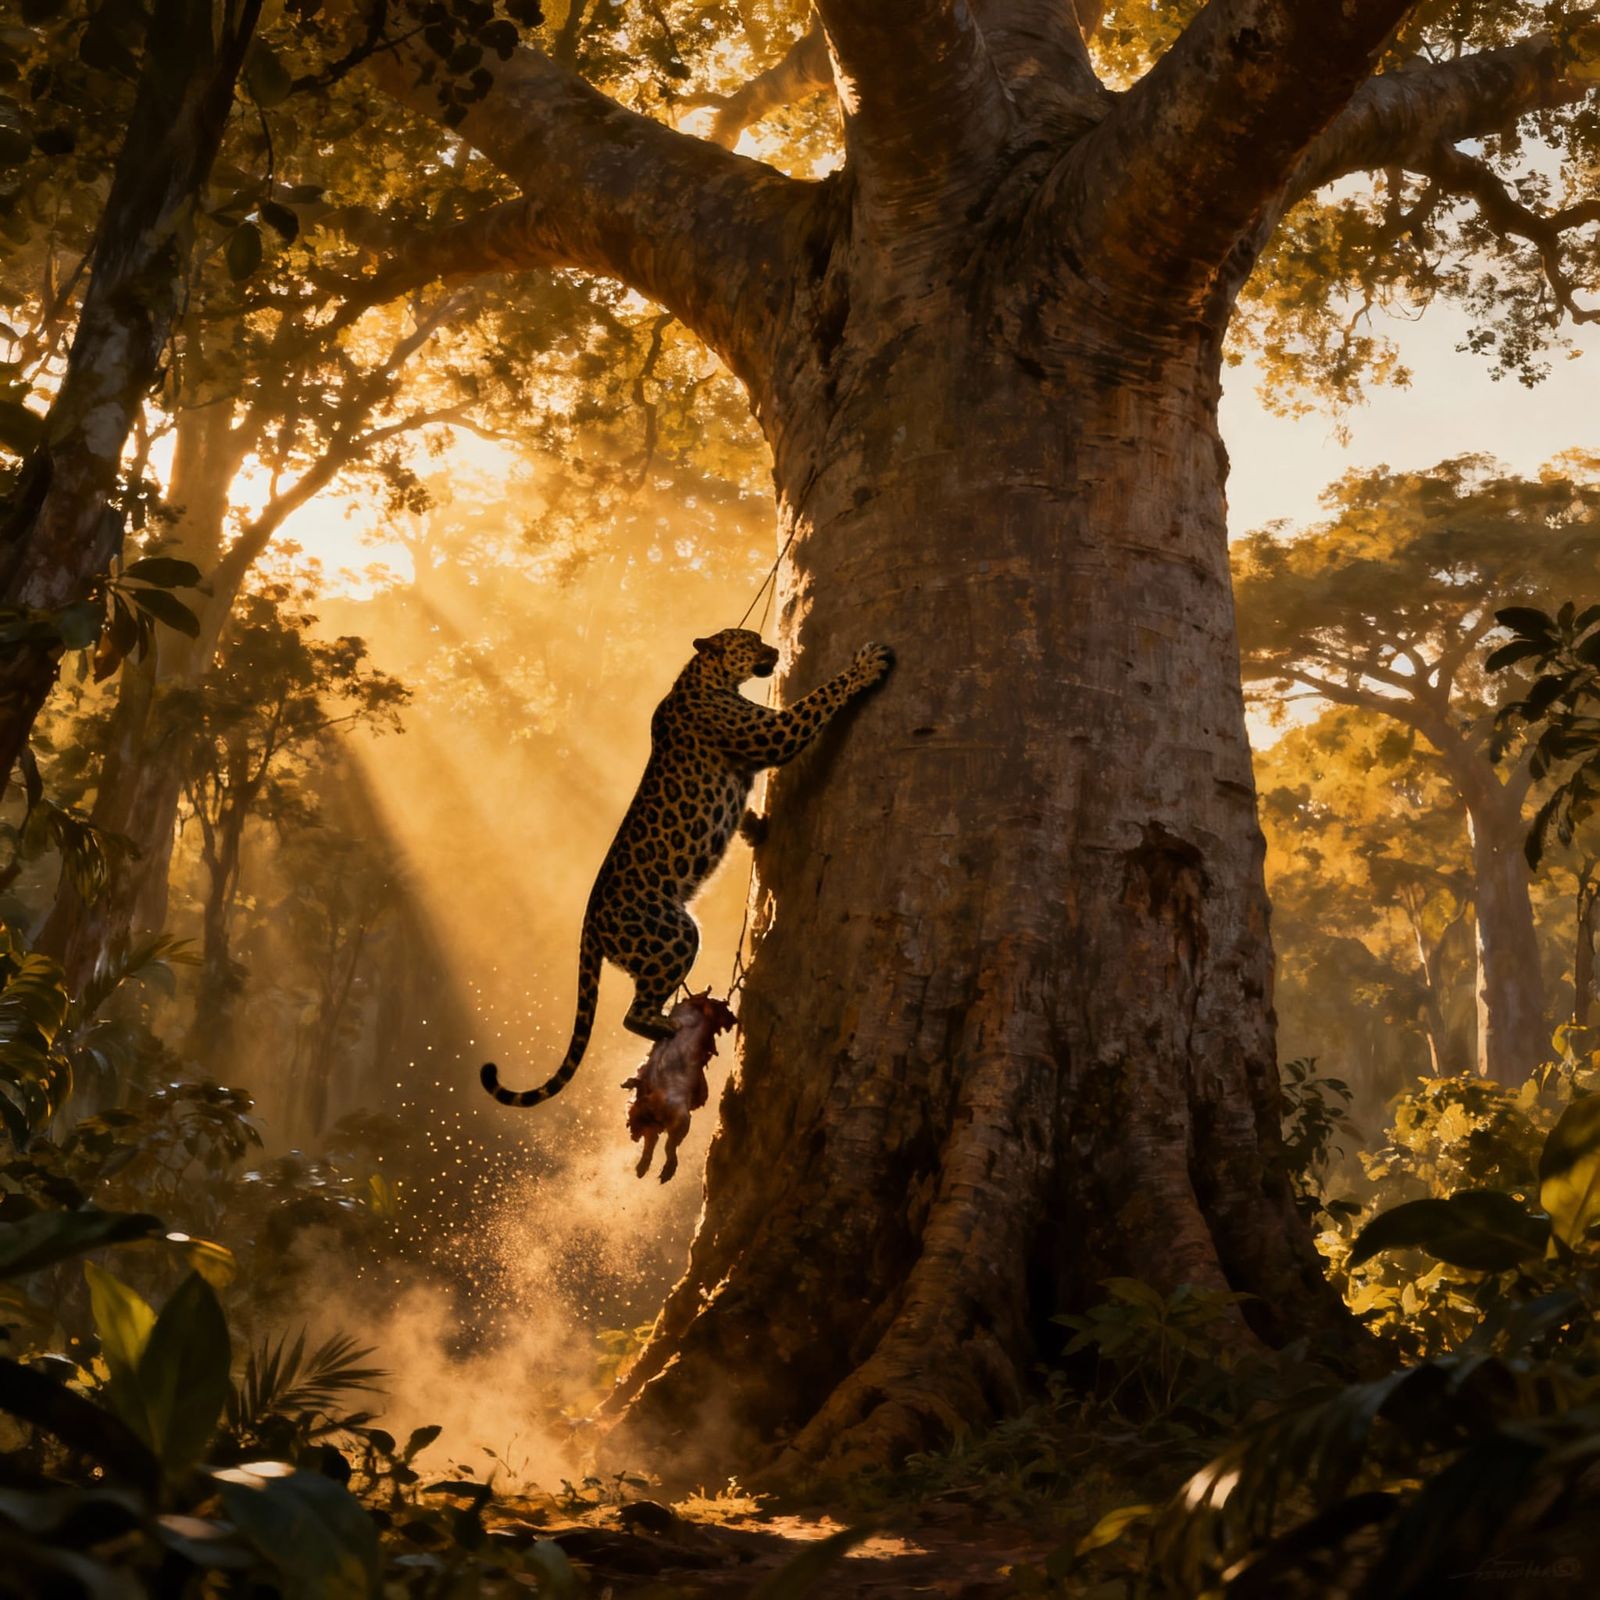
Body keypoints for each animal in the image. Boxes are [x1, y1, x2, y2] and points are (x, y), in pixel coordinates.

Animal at [480, 627, 894, 1106]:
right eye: (750, 641)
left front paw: (755, 826)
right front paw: (868, 664)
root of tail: (590, 923)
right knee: (633, 1013)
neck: (704, 676)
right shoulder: (773, 731)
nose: (775, 651)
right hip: (672, 933)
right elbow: (819, 697)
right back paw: (668, 1024)